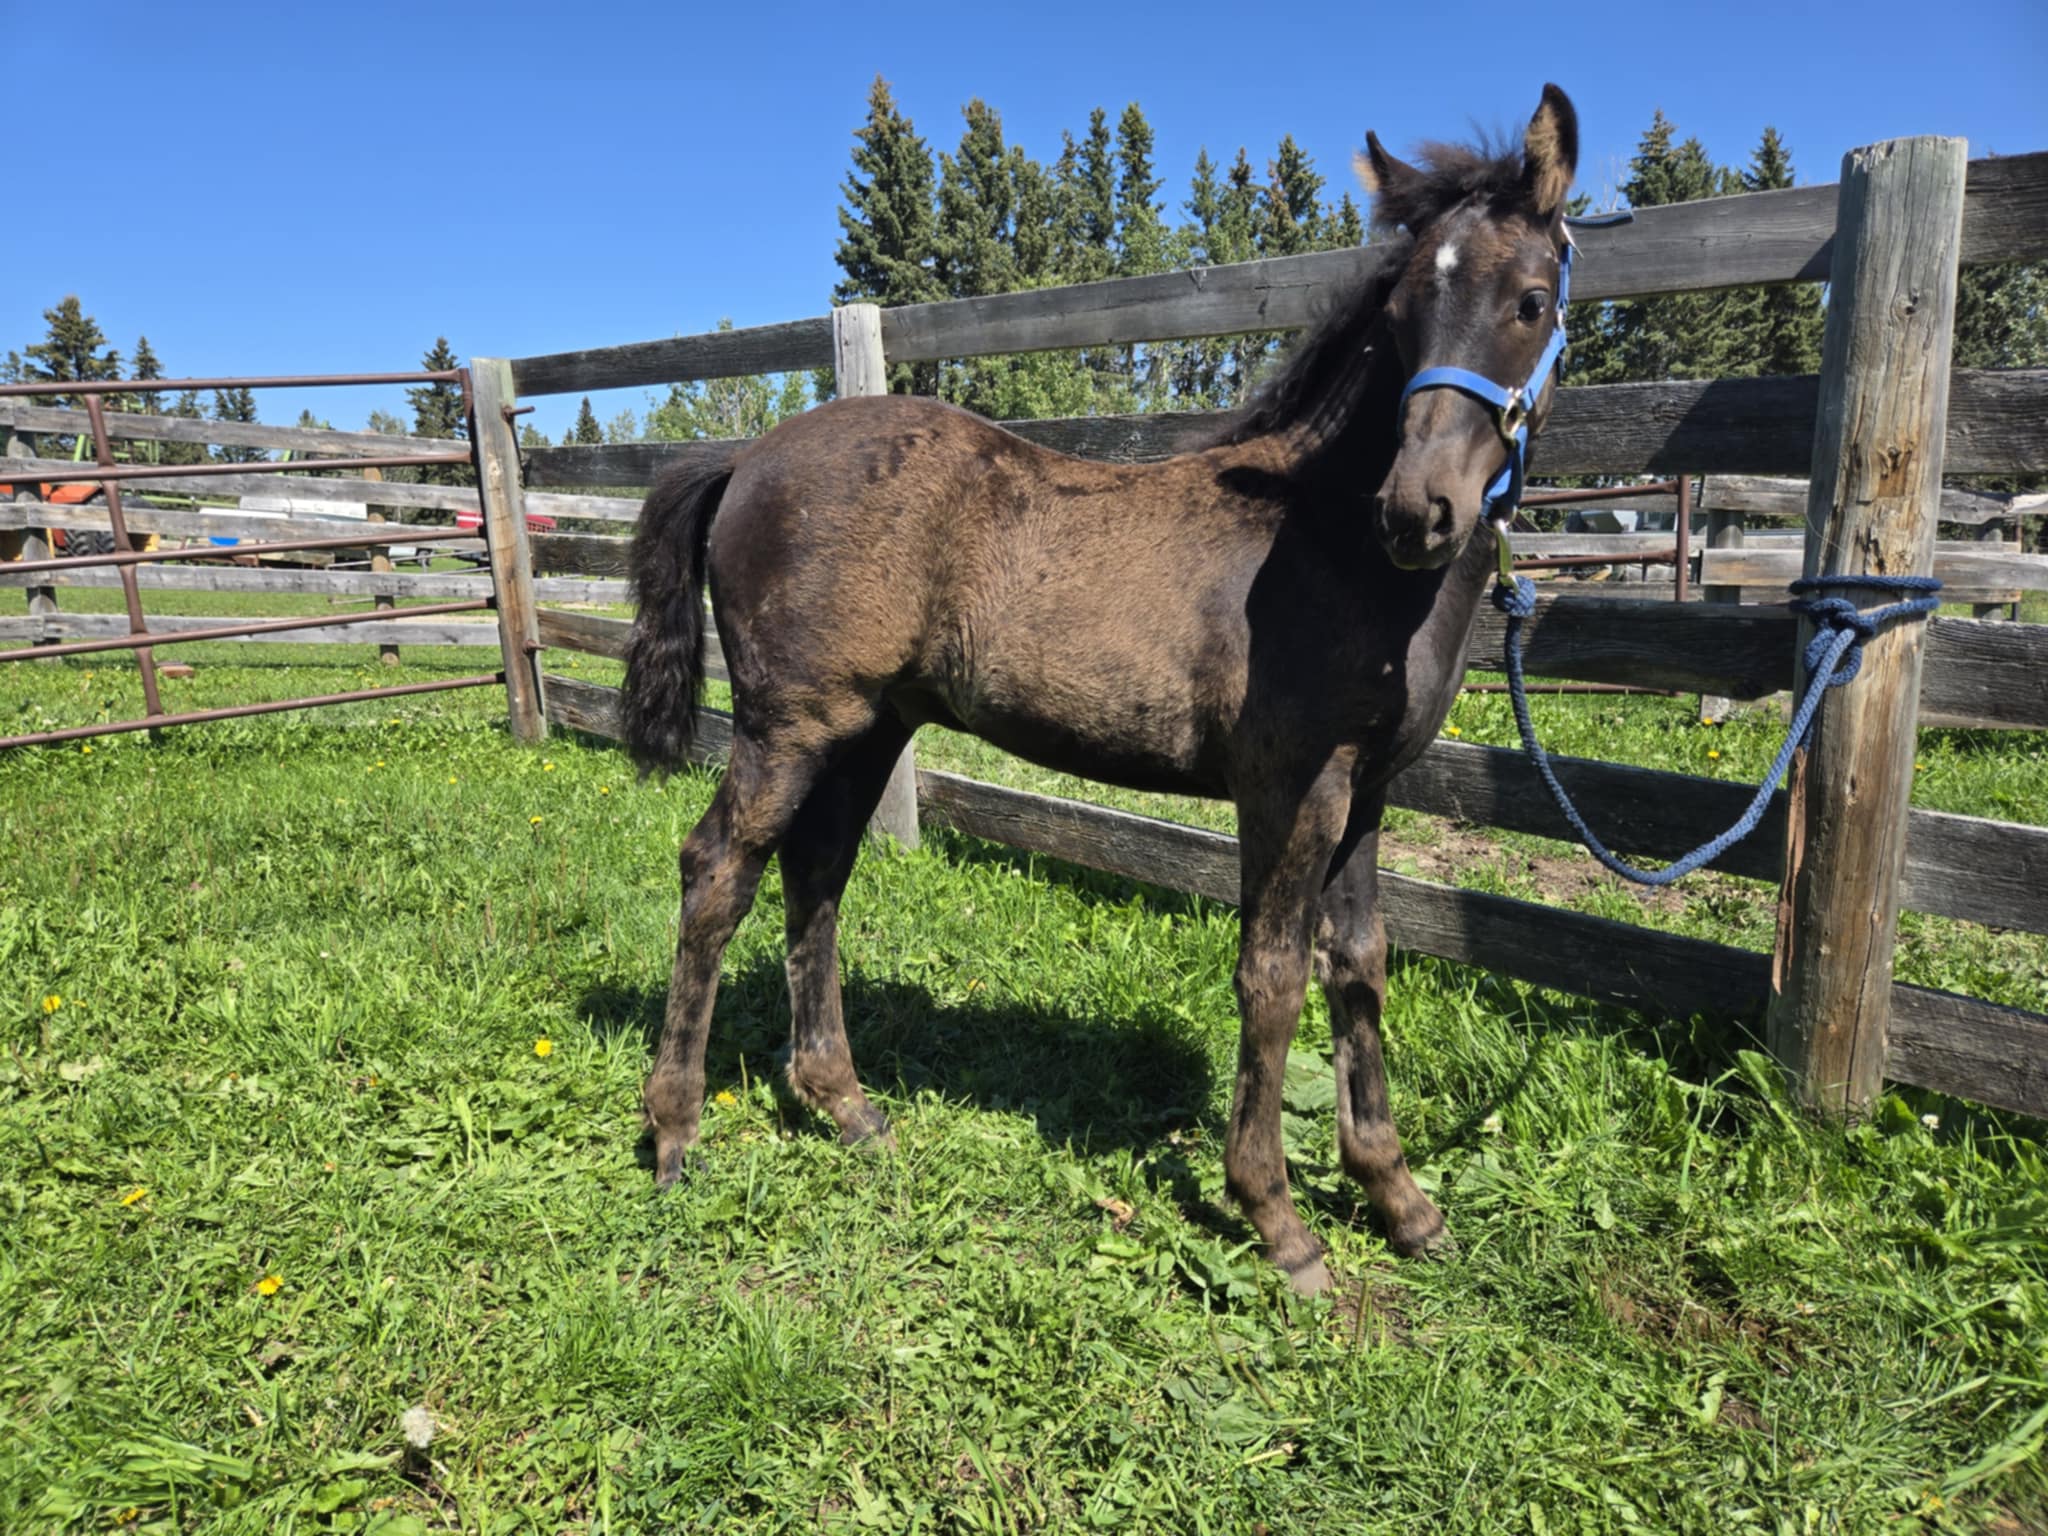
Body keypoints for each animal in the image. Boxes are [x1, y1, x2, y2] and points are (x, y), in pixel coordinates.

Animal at [621, 86, 1582, 1295]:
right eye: (1404, 310)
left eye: (1530, 300)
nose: (1419, 510)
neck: (1330, 548)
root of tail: (749, 456)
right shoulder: (1289, 789)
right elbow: (1270, 976)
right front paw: (1279, 1222)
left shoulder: (1365, 794)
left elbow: (1358, 966)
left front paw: (1399, 1200)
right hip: (787, 724)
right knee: (717, 871)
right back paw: (674, 1131)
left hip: (866, 730)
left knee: (818, 876)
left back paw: (845, 1105)